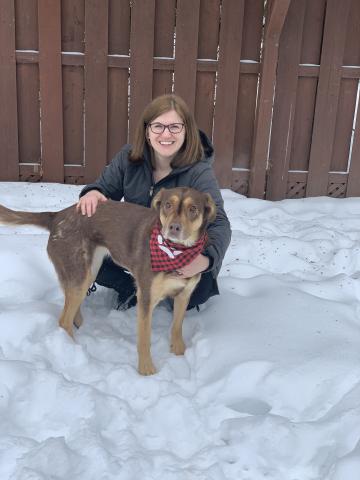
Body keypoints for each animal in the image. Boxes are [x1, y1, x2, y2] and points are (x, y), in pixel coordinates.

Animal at [0, 188, 215, 376]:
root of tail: (57, 216)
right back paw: (73, 350)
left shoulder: (184, 295)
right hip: (80, 275)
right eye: (168, 205)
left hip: (89, 272)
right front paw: (146, 370)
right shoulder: (146, 297)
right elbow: (144, 339)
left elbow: (177, 327)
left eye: (193, 209)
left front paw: (179, 353)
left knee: (70, 307)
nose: (174, 228)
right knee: (63, 320)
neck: (176, 253)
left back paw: (79, 325)